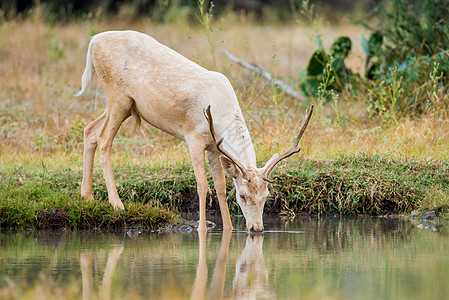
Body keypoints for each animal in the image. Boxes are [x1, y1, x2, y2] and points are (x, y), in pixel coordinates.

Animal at [75, 29, 312, 232]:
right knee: (104, 139)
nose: (256, 228)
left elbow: (220, 187)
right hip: (117, 94)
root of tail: (92, 42)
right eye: (243, 195)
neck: (220, 114)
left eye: (267, 195)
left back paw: (86, 196)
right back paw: (117, 204)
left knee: (90, 131)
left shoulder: (215, 148)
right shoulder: (194, 138)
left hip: (125, 105)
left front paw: (228, 228)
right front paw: (201, 228)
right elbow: (202, 185)